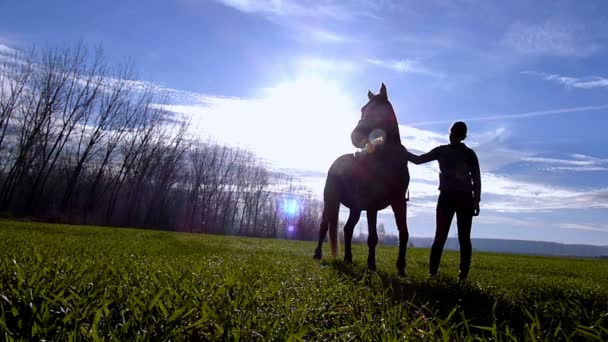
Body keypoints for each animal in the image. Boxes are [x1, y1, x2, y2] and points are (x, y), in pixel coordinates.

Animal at [312, 84, 410, 276]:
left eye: (377, 109)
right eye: (363, 109)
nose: (354, 136)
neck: (387, 160)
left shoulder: (399, 201)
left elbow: (404, 232)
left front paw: (401, 267)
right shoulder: (372, 206)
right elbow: (372, 238)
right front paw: (371, 266)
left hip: (355, 208)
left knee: (348, 229)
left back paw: (348, 258)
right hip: (331, 201)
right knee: (324, 225)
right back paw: (318, 254)